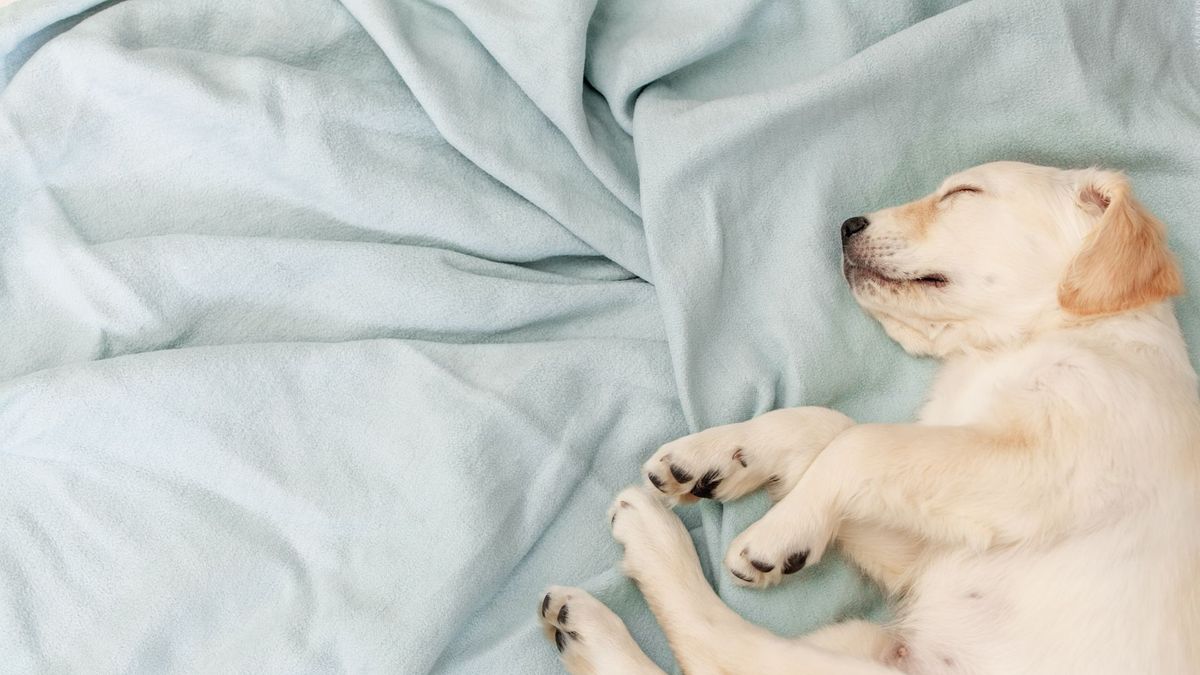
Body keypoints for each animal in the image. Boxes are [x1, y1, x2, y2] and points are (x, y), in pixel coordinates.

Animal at [542, 163, 1200, 672]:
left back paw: (645, 555)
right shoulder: (932, 540)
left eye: (963, 193)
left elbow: (865, 444)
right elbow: (831, 428)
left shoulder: (1045, 465)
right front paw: (727, 454)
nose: (845, 225)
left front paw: (778, 531)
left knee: (718, 646)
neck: (1005, 349)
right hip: (866, 639)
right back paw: (593, 617)